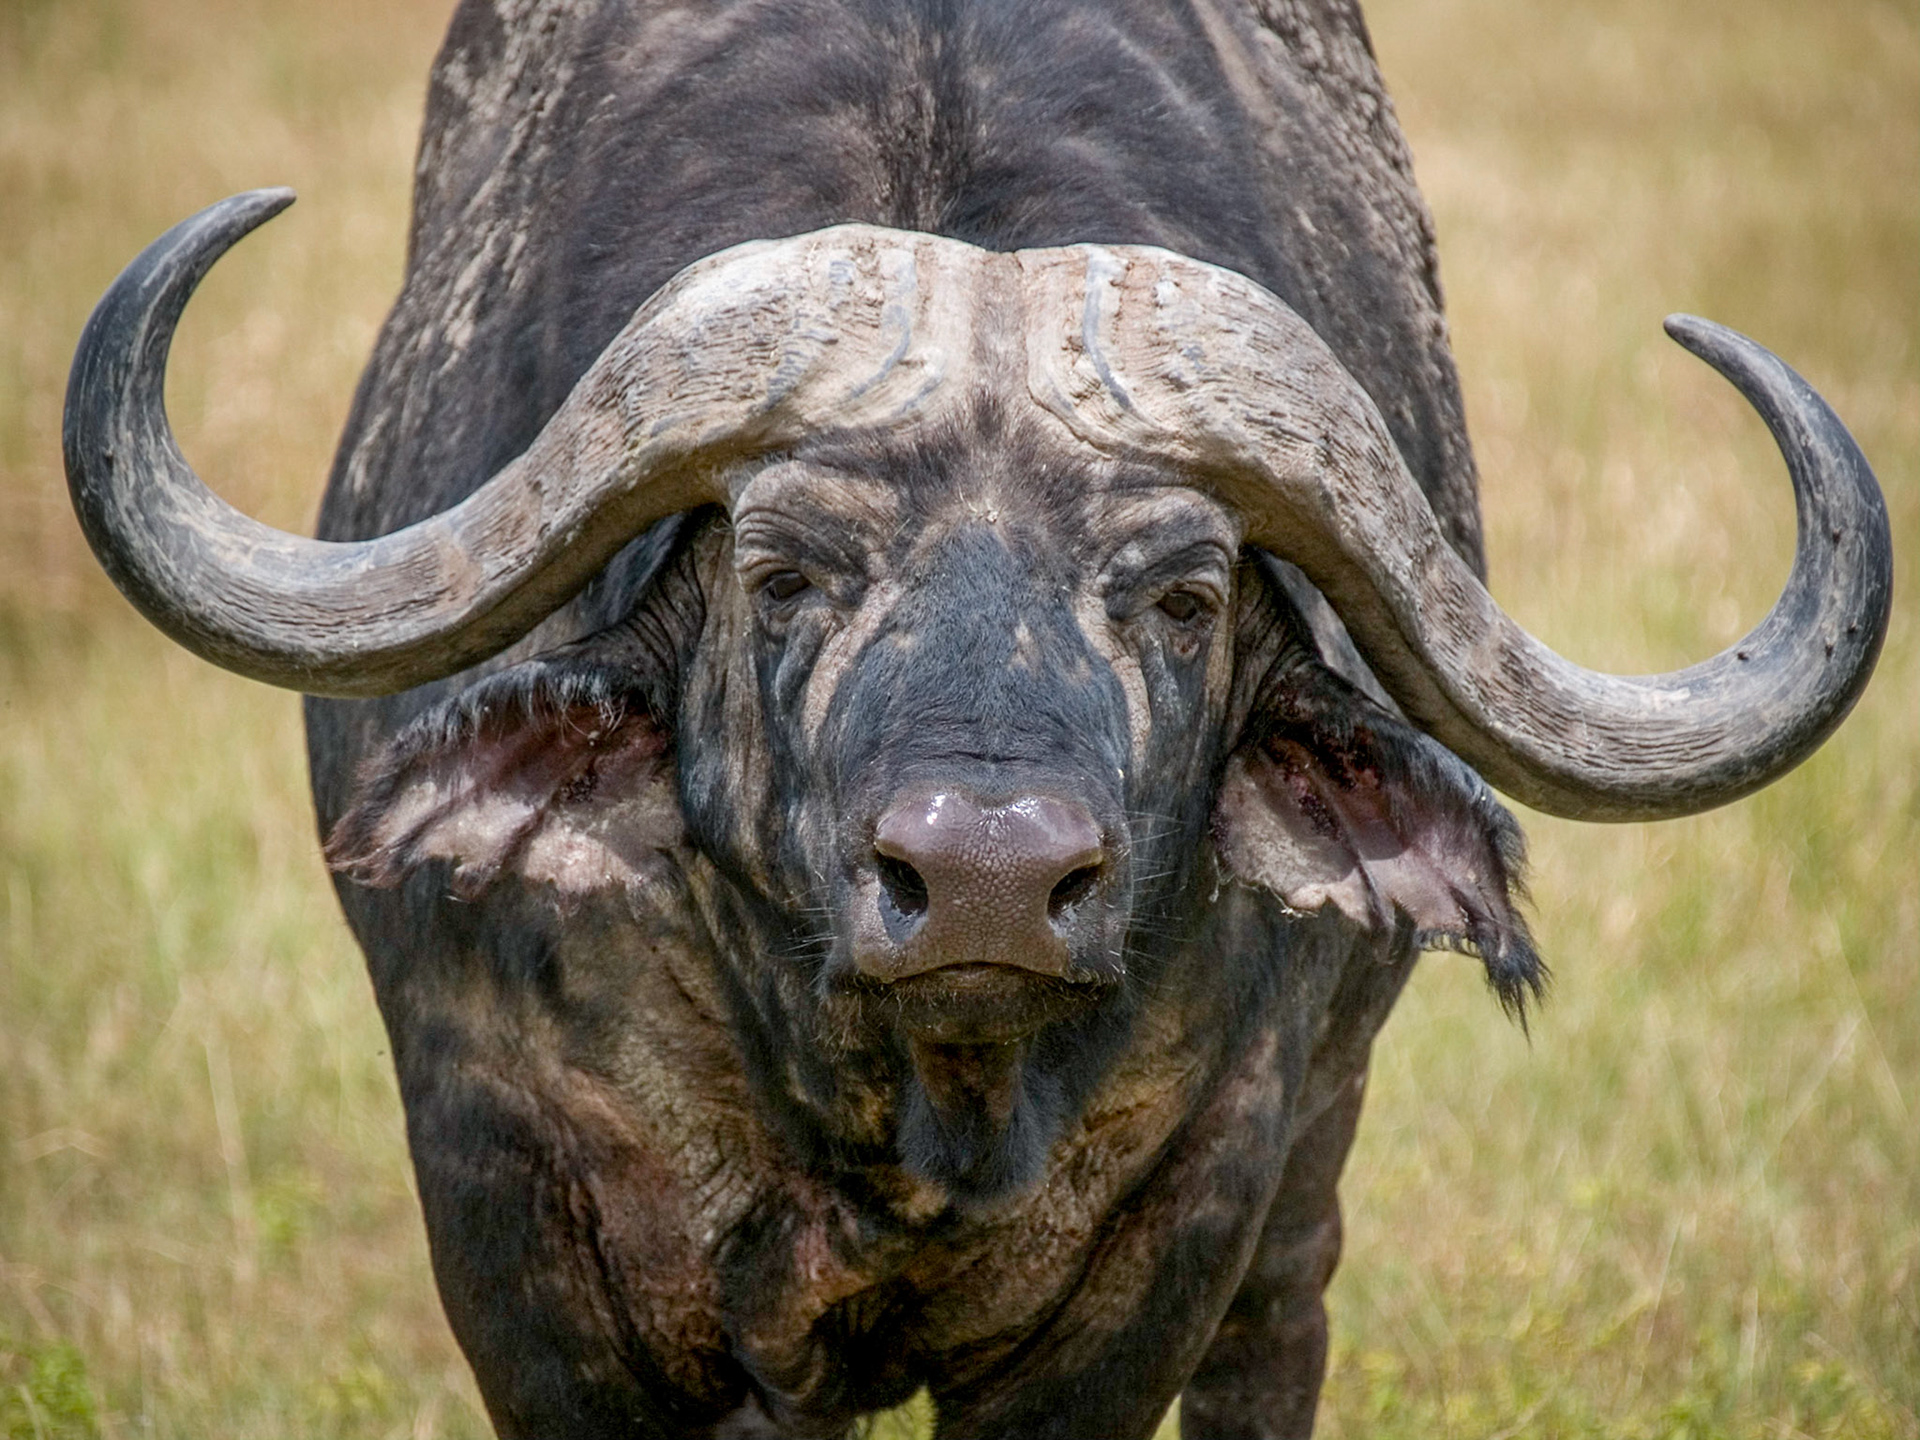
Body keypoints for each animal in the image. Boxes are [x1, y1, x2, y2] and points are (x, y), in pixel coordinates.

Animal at [65, 1, 1891, 1436]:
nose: (988, 882)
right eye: (785, 573)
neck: (897, 1102)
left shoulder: (1170, 1232)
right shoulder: (515, 1222)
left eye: (1183, 596)